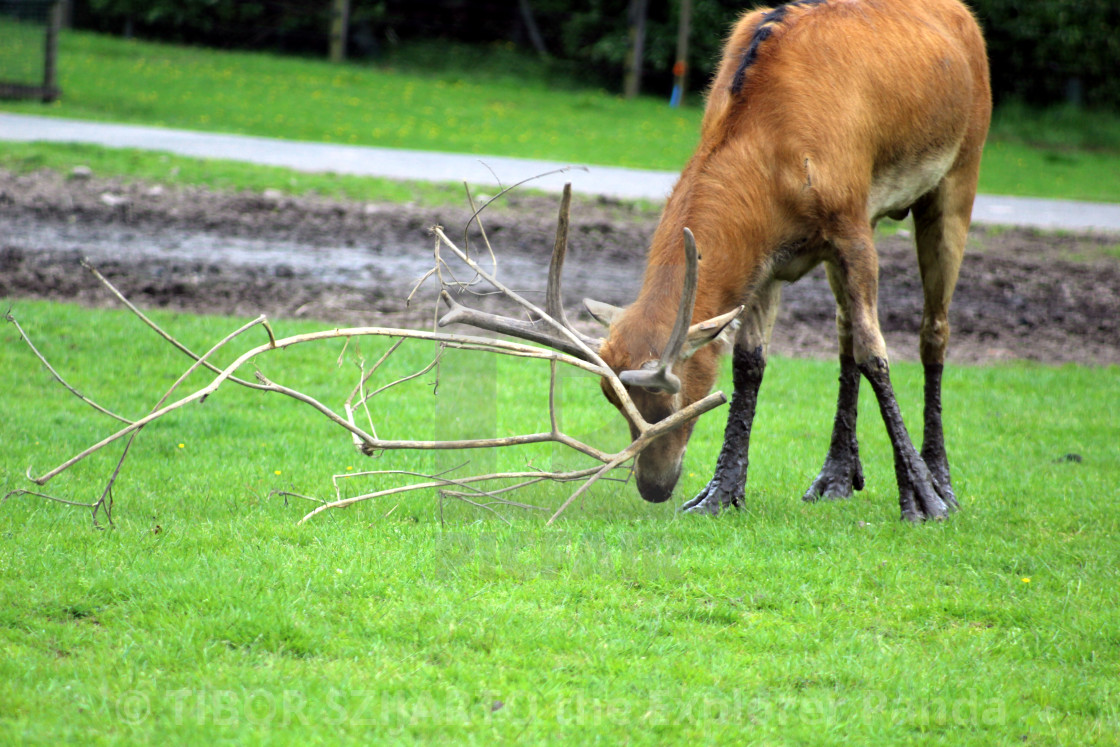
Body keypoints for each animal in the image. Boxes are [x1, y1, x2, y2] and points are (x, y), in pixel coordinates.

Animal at [441, 0, 994, 524]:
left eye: (671, 397)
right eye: (611, 399)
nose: (653, 486)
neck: (775, 155)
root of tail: (966, 19)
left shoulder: (850, 226)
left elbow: (877, 354)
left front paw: (921, 500)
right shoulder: (768, 257)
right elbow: (750, 362)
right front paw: (720, 493)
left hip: (959, 174)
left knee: (931, 328)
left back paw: (941, 480)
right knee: (843, 331)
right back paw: (836, 476)